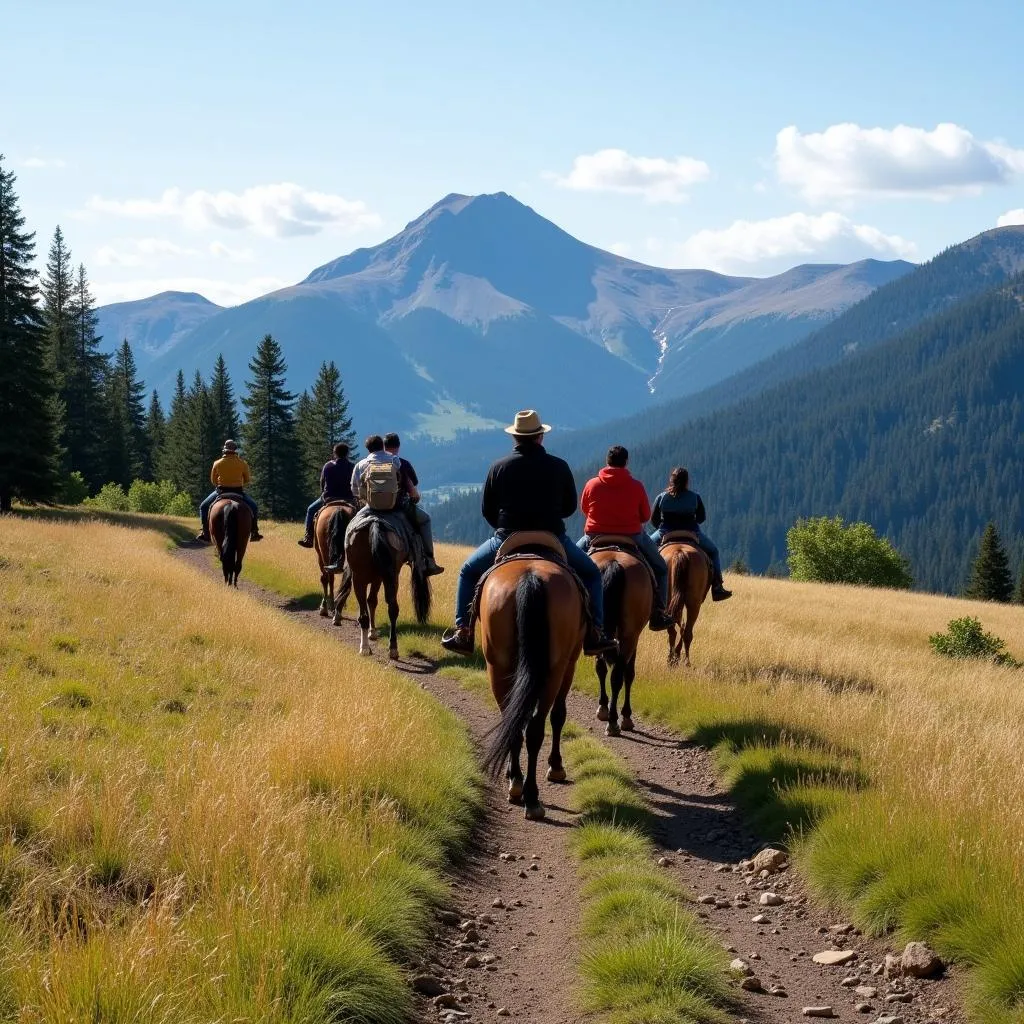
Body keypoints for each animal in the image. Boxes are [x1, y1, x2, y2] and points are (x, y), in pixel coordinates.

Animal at [337, 516, 430, 659]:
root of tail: (374, 523)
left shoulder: (375, 579)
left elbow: (371, 601)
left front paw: (372, 632)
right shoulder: (379, 578)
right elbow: (372, 601)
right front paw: (373, 632)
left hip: (361, 580)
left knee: (366, 614)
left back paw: (365, 647)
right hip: (389, 577)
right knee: (392, 609)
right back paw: (392, 648)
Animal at [479, 536, 585, 815]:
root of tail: (530, 577)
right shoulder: (570, 663)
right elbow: (559, 715)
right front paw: (556, 766)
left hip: (499, 665)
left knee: (517, 723)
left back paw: (519, 786)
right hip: (555, 669)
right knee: (536, 725)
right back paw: (529, 794)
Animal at [589, 544, 651, 737]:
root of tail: (613, 563)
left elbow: (601, 669)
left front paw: (603, 707)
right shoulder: (634, 638)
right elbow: (629, 674)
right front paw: (625, 715)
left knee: (608, 671)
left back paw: (610, 717)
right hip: (629, 635)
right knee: (618, 675)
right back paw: (614, 722)